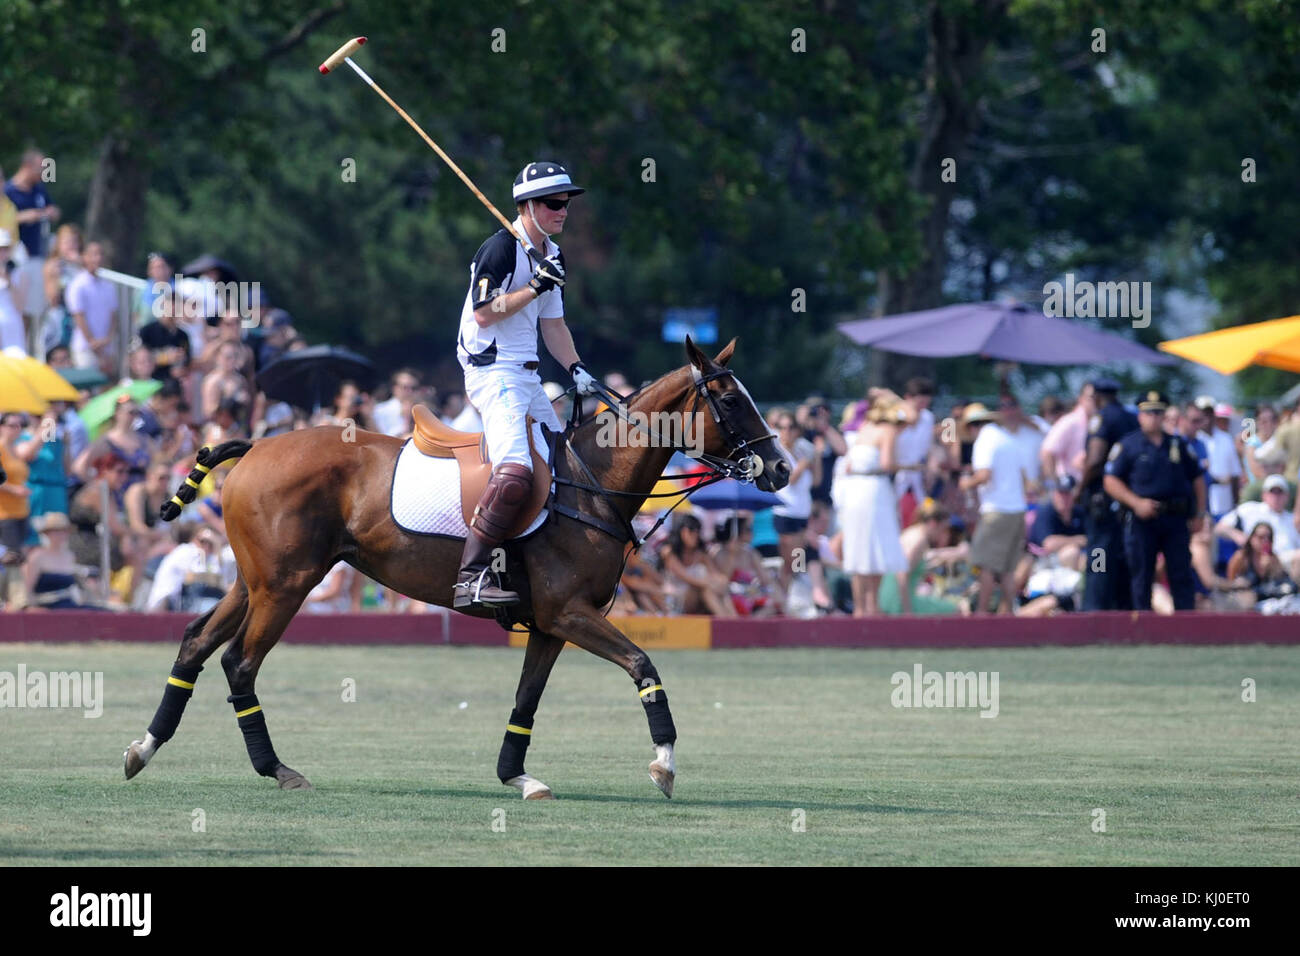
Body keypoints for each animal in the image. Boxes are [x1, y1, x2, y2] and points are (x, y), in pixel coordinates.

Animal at [124, 335, 790, 801]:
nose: (782, 469)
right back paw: (277, 769)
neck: (592, 482)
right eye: (731, 399)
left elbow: (527, 699)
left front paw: (518, 778)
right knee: (240, 661)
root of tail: (257, 444)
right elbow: (644, 665)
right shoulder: (569, 613)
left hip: (255, 579)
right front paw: (664, 765)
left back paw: (144, 748)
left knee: (196, 642)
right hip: (287, 585)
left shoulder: (550, 624)